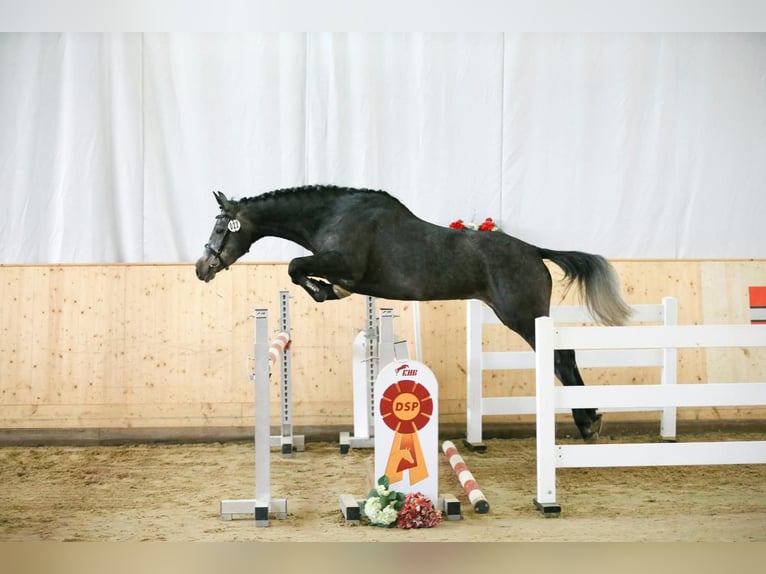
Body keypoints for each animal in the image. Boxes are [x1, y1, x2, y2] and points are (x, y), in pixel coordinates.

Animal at [195, 184, 632, 440]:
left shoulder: (344, 262)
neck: (333, 214)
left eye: (219, 228)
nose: (202, 268)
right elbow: (301, 269)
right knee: (562, 359)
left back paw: (587, 421)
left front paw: (324, 290)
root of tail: (535, 251)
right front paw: (328, 290)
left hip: (522, 316)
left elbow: (296, 266)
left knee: (562, 359)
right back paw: (587, 420)